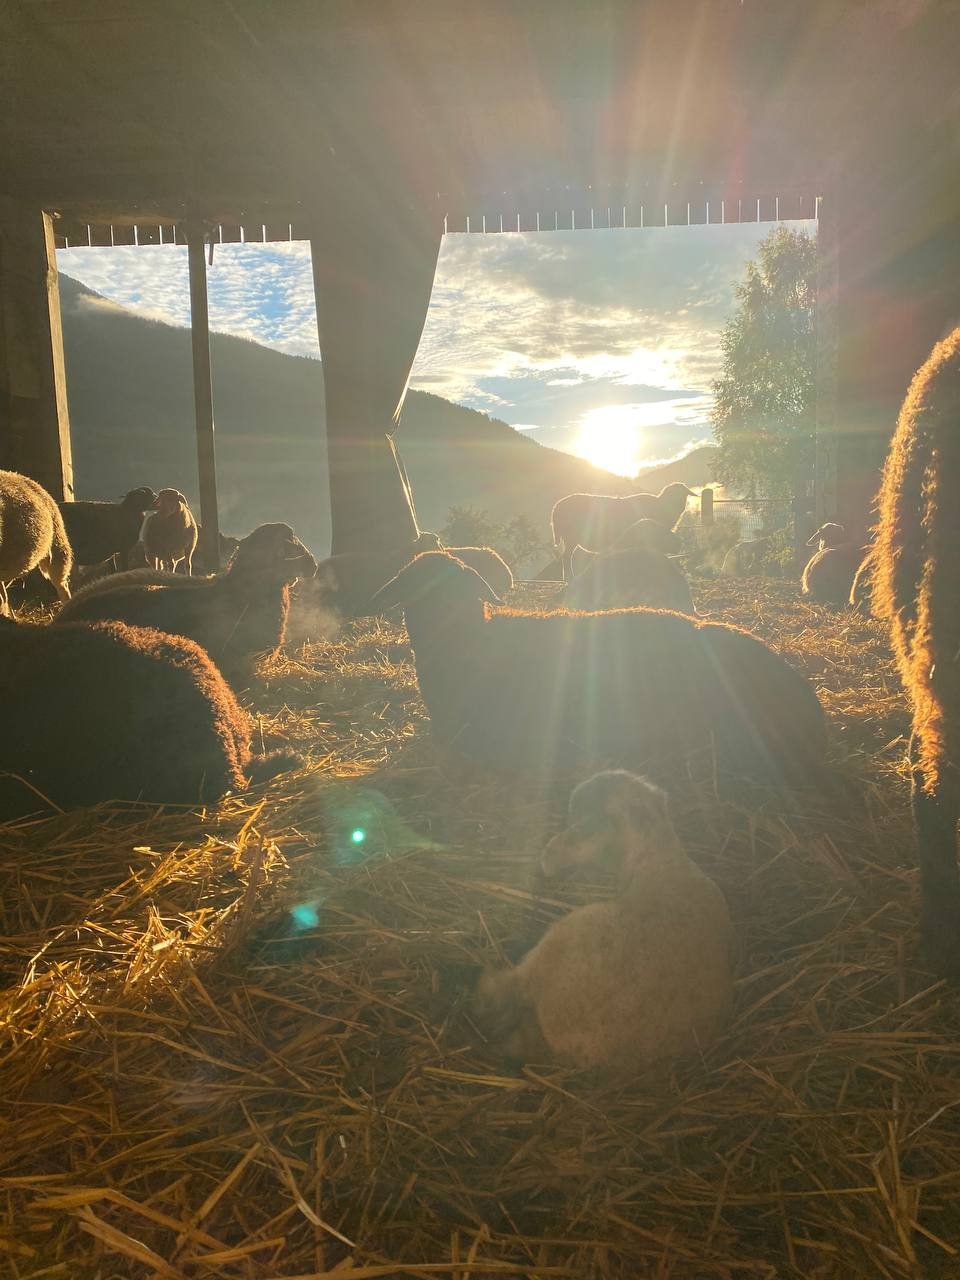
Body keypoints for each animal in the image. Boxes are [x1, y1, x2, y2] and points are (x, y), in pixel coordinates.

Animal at [551, 484, 695, 581]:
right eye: (673, 493)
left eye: (683, 494)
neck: (661, 505)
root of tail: (556, 507)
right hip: (571, 537)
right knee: (566, 557)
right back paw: (569, 578)